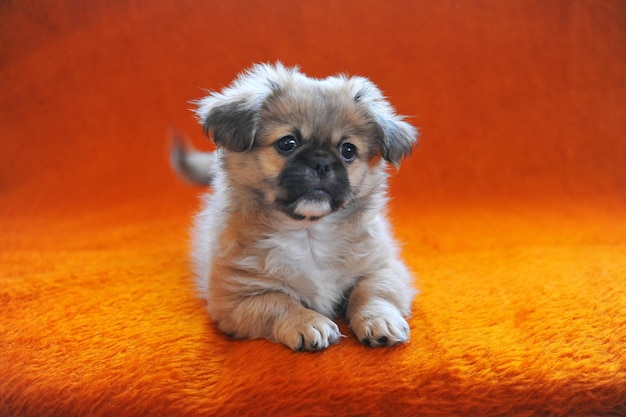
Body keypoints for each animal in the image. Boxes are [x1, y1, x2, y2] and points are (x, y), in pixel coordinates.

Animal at [174, 62, 420, 352]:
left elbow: (372, 290)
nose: (321, 163)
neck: (309, 233)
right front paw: (308, 322)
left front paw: (379, 319)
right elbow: (279, 302)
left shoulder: (384, 266)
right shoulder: (237, 298)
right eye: (287, 143)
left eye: (348, 150)